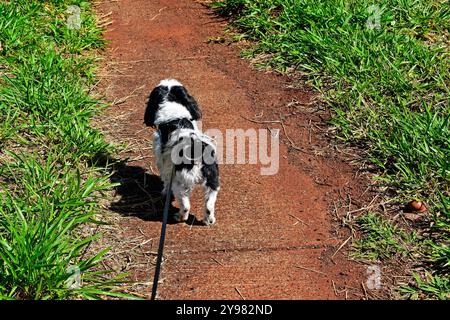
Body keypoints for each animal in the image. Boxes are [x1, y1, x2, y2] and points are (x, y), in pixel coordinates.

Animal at [144, 79, 220, 225]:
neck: (176, 117)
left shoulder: (163, 161)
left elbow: (165, 181)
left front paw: (164, 193)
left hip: (180, 184)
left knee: (185, 206)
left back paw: (179, 217)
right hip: (212, 182)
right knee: (209, 205)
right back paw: (208, 220)